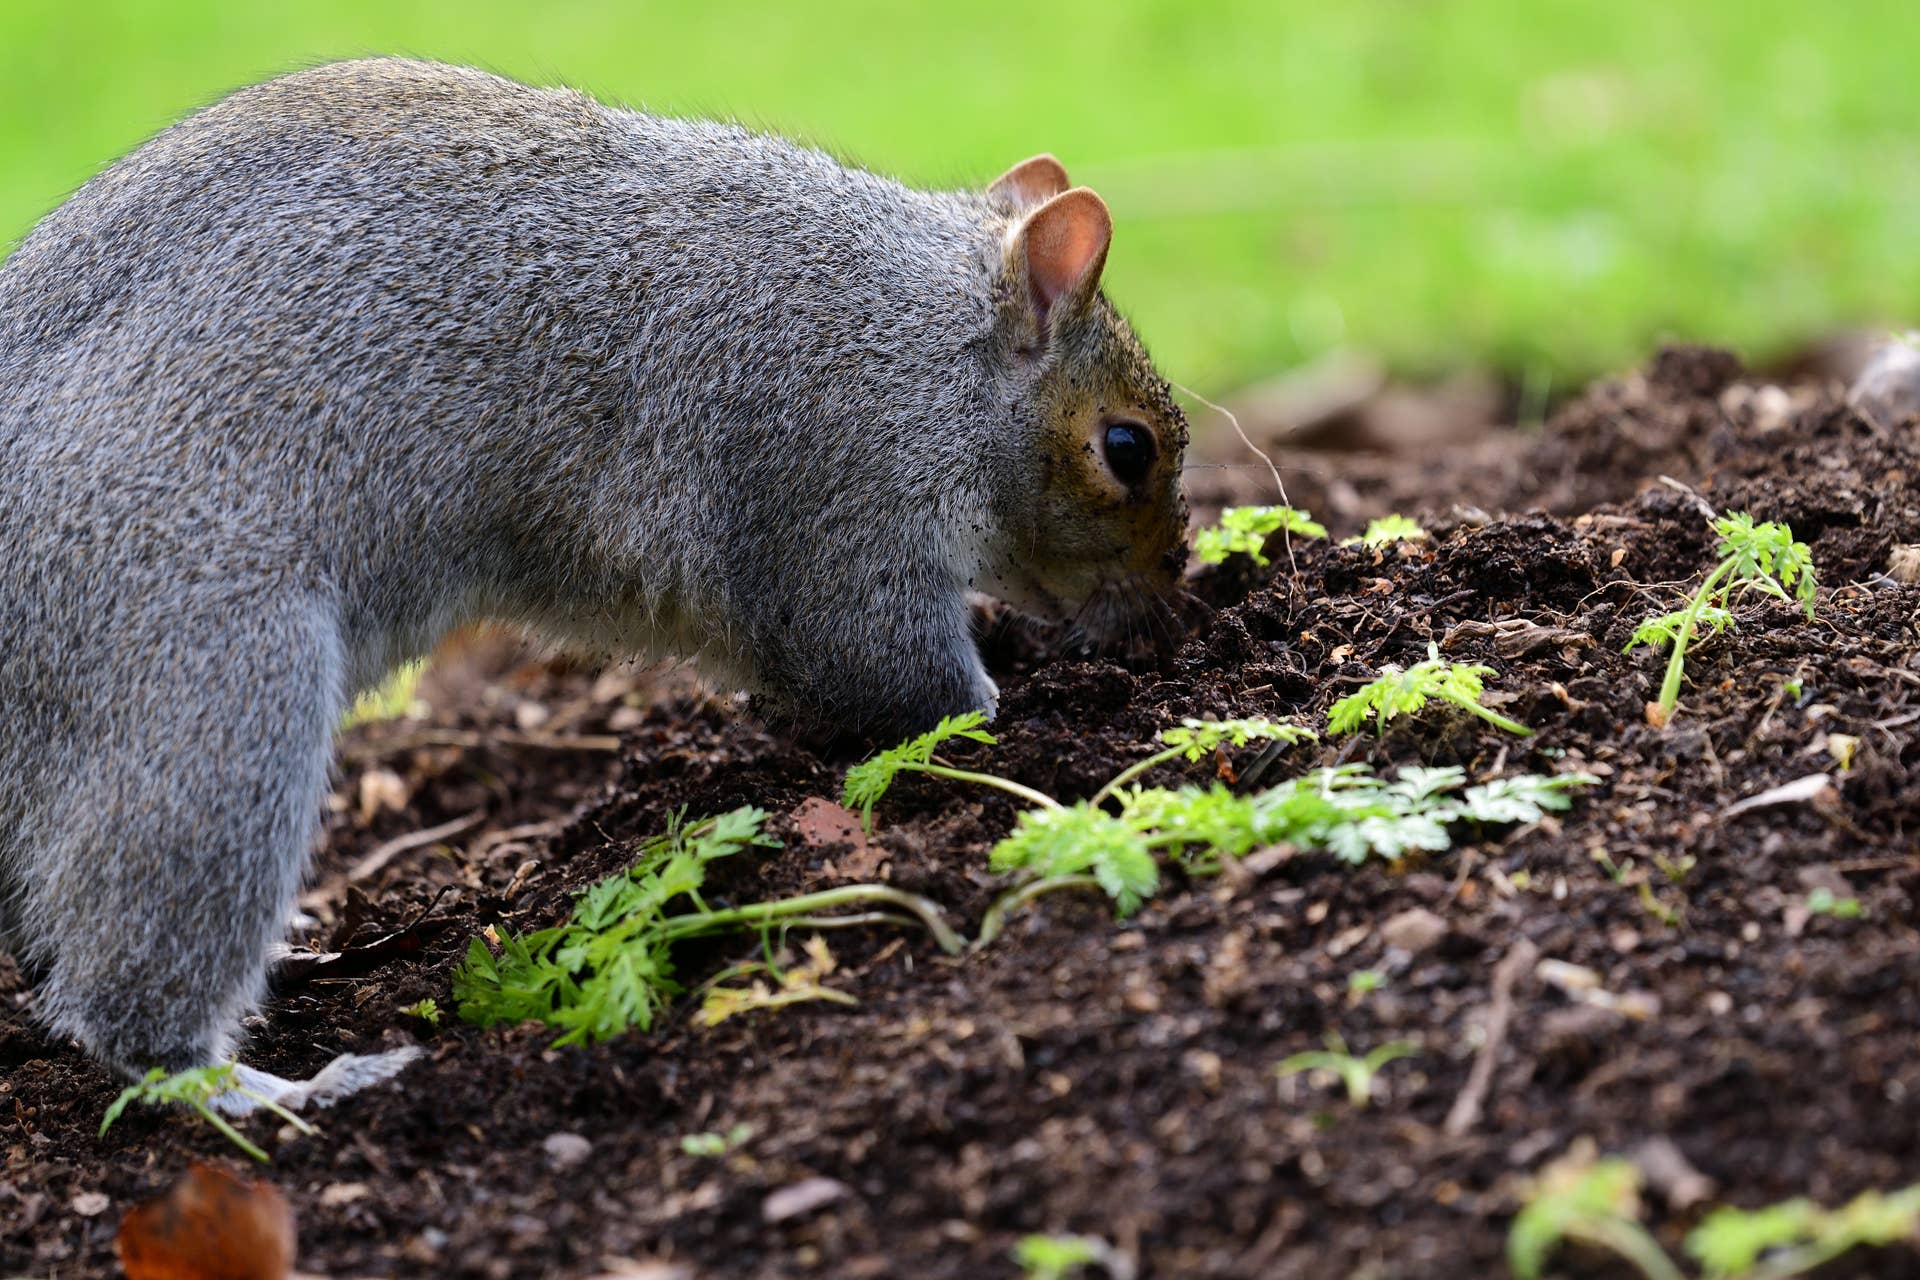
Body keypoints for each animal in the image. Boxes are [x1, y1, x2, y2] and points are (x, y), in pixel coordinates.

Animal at [0, 59, 1190, 1089]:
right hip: (209, 675)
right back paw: (268, 1084)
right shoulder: (829, 483)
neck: (926, 338)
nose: (1167, 611)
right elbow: (883, 666)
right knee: (133, 995)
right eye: (1127, 448)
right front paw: (1014, 713)